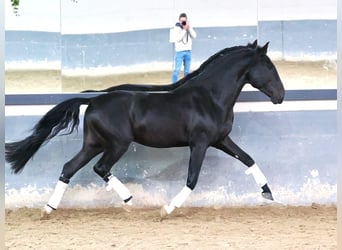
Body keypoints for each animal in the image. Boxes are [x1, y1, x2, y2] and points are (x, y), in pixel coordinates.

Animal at [5, 42, 284, 218]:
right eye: (269, 67)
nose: (281, 95)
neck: (210, 97)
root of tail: (93, 100)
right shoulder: (200, 143)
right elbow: (192, 180)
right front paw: (166, 210)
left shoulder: (221, 139)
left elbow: (248, 159)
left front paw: (268, 193)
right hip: (117, 144)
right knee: (100, 168)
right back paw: (129, 200)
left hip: (94, 143)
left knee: (69, 168)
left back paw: (48, 209)